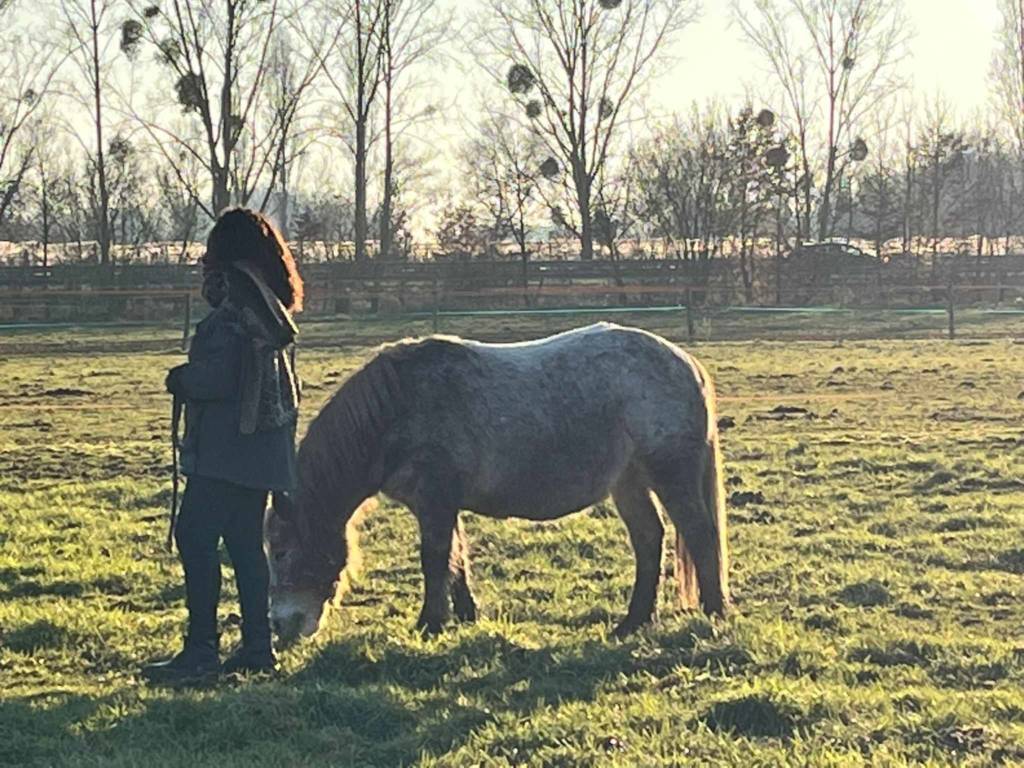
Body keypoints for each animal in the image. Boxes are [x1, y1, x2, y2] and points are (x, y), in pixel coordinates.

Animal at [264, 325, 729, 643]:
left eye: (282, 551)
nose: (281, 626)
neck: (400, 407)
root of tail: (686, 363)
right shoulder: (440, 502)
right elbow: (456, 557)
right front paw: (466, 616)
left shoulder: (435, 499)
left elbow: (435, 558)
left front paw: (429, 624)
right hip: (629, 482)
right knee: (650, 540)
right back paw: (633, 622)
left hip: (671, 475)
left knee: (700, 534)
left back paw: (715, 612)